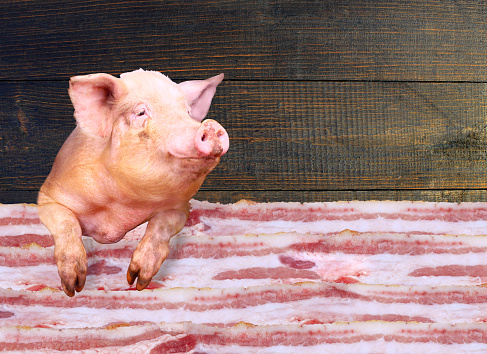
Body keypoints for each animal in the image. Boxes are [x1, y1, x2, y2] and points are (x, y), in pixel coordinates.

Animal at [37, 69, 229, 296]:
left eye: (188, 112)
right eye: (141, 113)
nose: (211, 125)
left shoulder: (180, 207)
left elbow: (162, 225)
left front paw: (137, 283)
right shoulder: (49, 195)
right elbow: (67, 223)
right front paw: (72, 288)